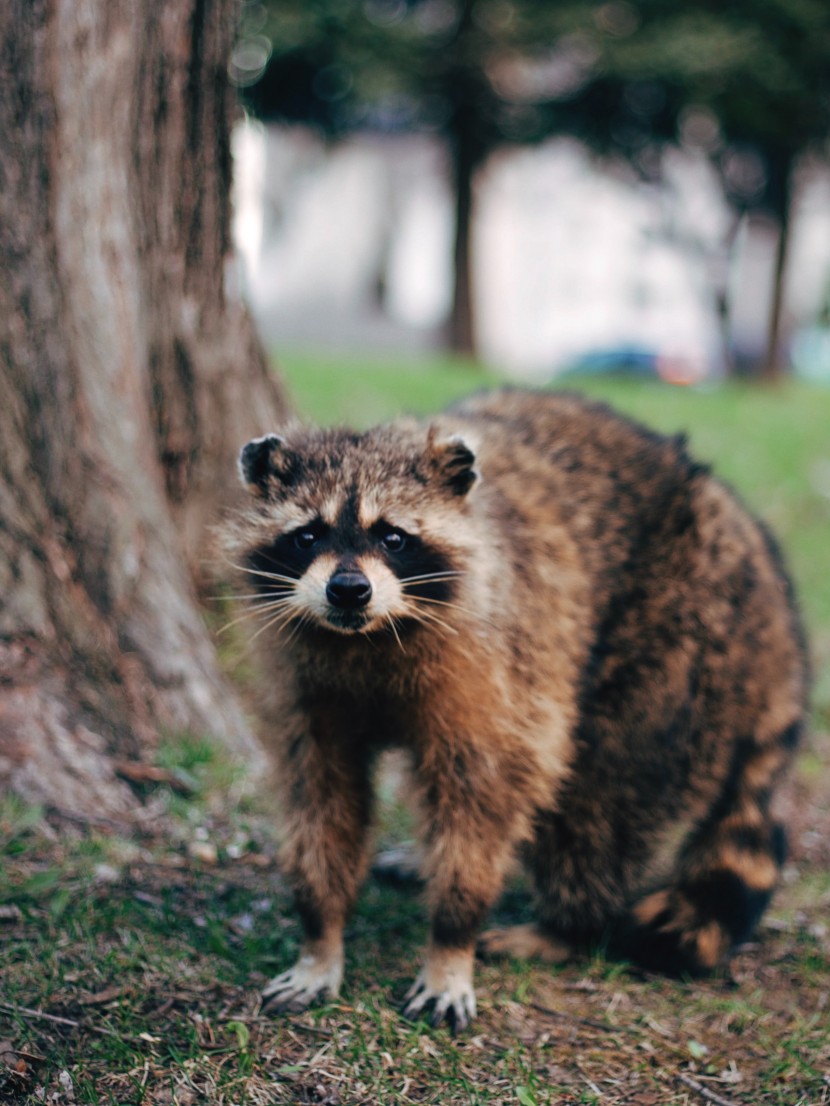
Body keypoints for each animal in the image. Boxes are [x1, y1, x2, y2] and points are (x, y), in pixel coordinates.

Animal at [222, 391, 814, 1035]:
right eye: (308, 536)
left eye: (393, 538)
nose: (349, 590)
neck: (368, 636)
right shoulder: (305, 682)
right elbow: (320, 795)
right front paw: (321, 933)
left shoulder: (501, 665)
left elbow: (485, 793)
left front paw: (451, 938)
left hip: (681, 638)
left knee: (599, 798)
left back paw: (568, 926)